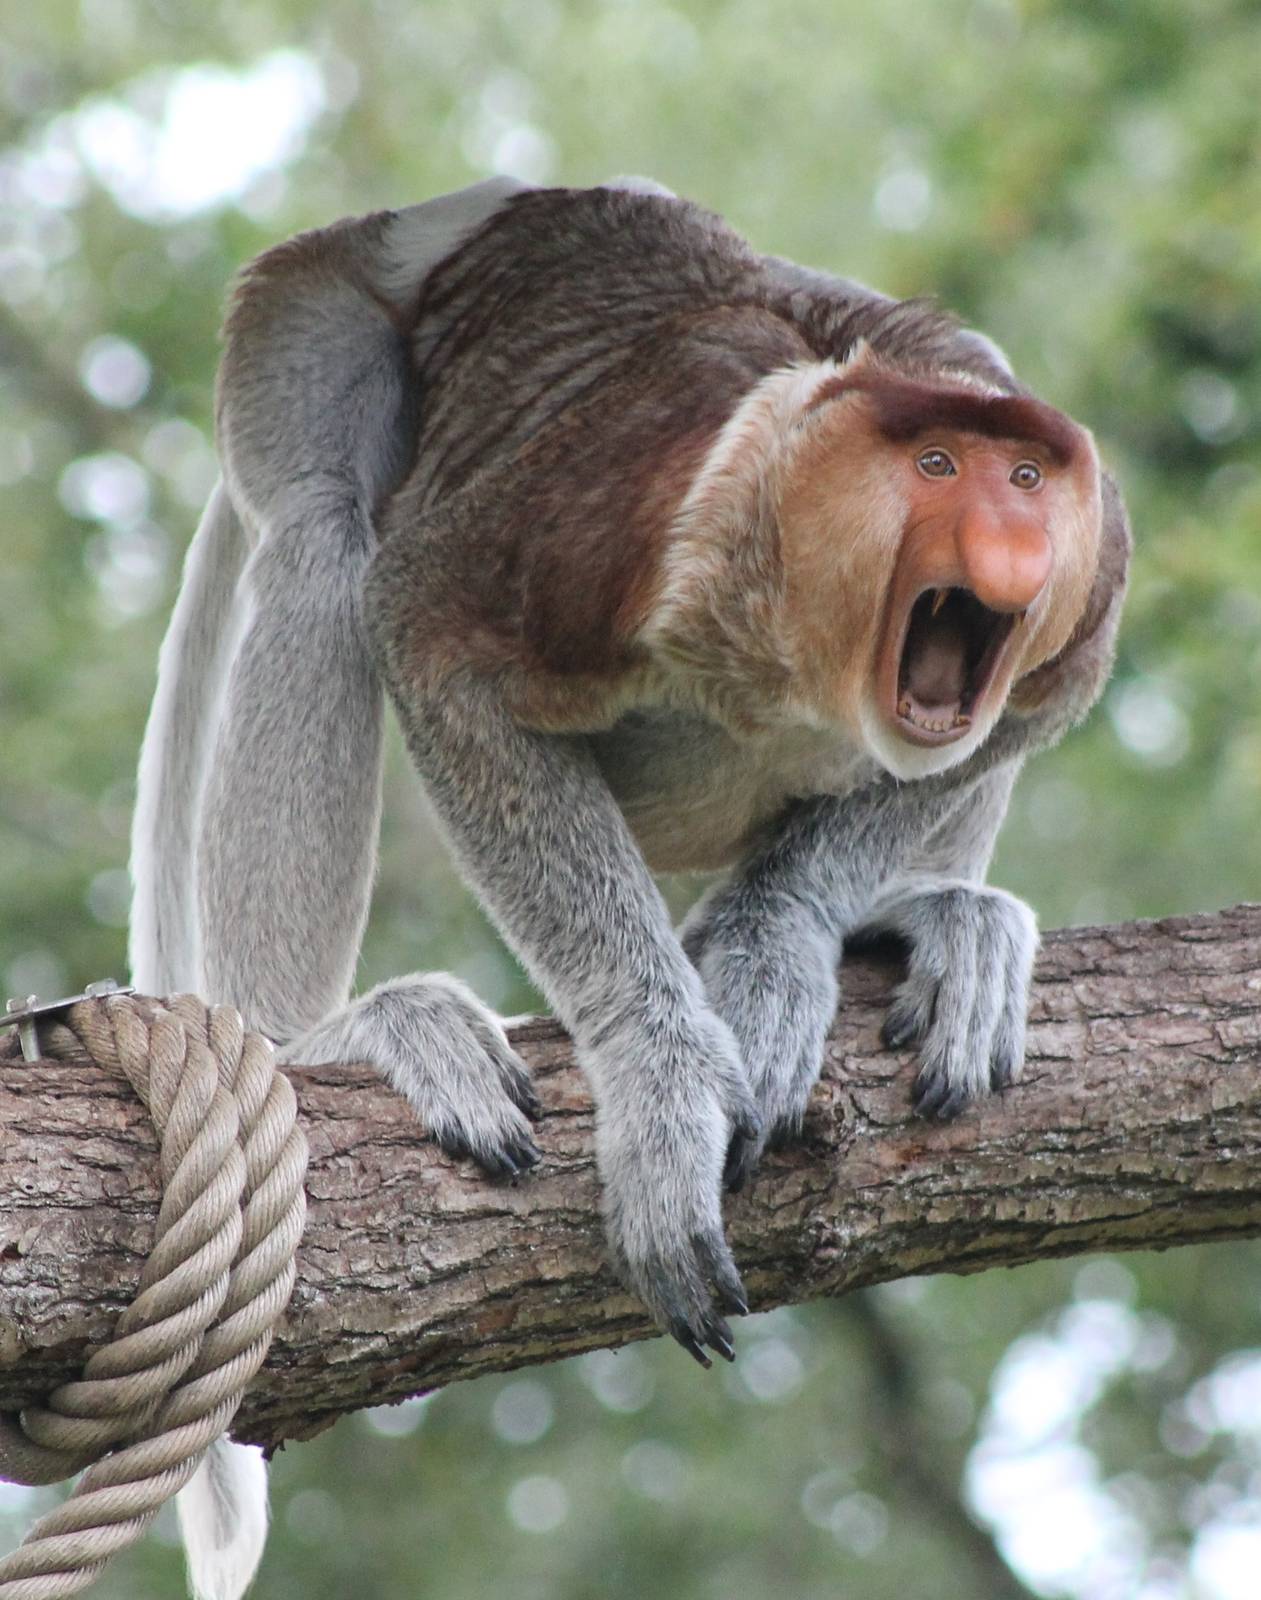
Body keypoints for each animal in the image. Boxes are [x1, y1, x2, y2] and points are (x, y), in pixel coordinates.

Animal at [128, 177, 1130, 1600]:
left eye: (1028, 475)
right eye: (939, 468)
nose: (1016, 535)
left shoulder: (1088, 589)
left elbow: (1031, 704)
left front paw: (772, 958)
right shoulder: (601, 527)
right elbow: (432, 636)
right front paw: (664, 1091)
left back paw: (934, 918)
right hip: (304, 316)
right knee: (322, 534)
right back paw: (311, 1033)